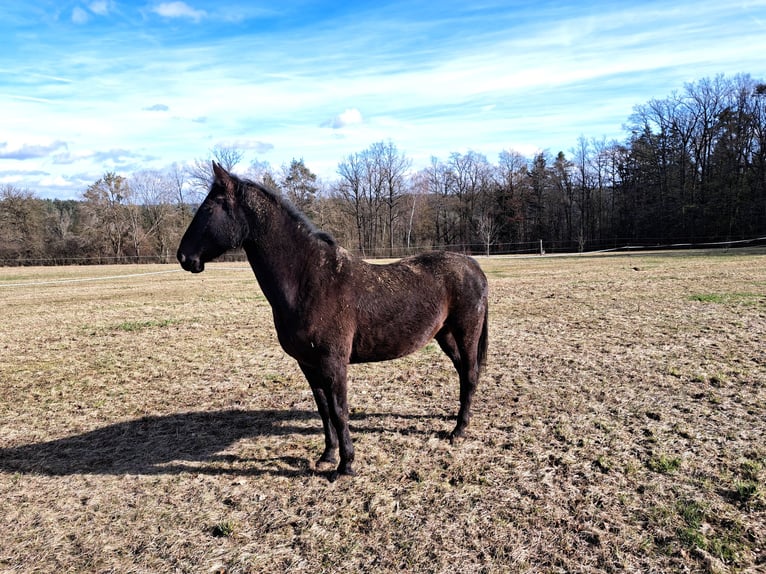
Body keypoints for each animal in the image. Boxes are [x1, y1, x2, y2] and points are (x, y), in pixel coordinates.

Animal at [178, 163, 488, 482]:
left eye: (210, 208)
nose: (185, 257)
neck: (310, 281)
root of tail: (473, 265)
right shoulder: (308, 364)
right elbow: (323, 409)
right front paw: (327, 455)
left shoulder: (333, 362)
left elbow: (340, 410)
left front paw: (346, 465)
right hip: (445, 335)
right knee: (463, 373)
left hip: (466, 332)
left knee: (470, 374)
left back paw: (458, 430)